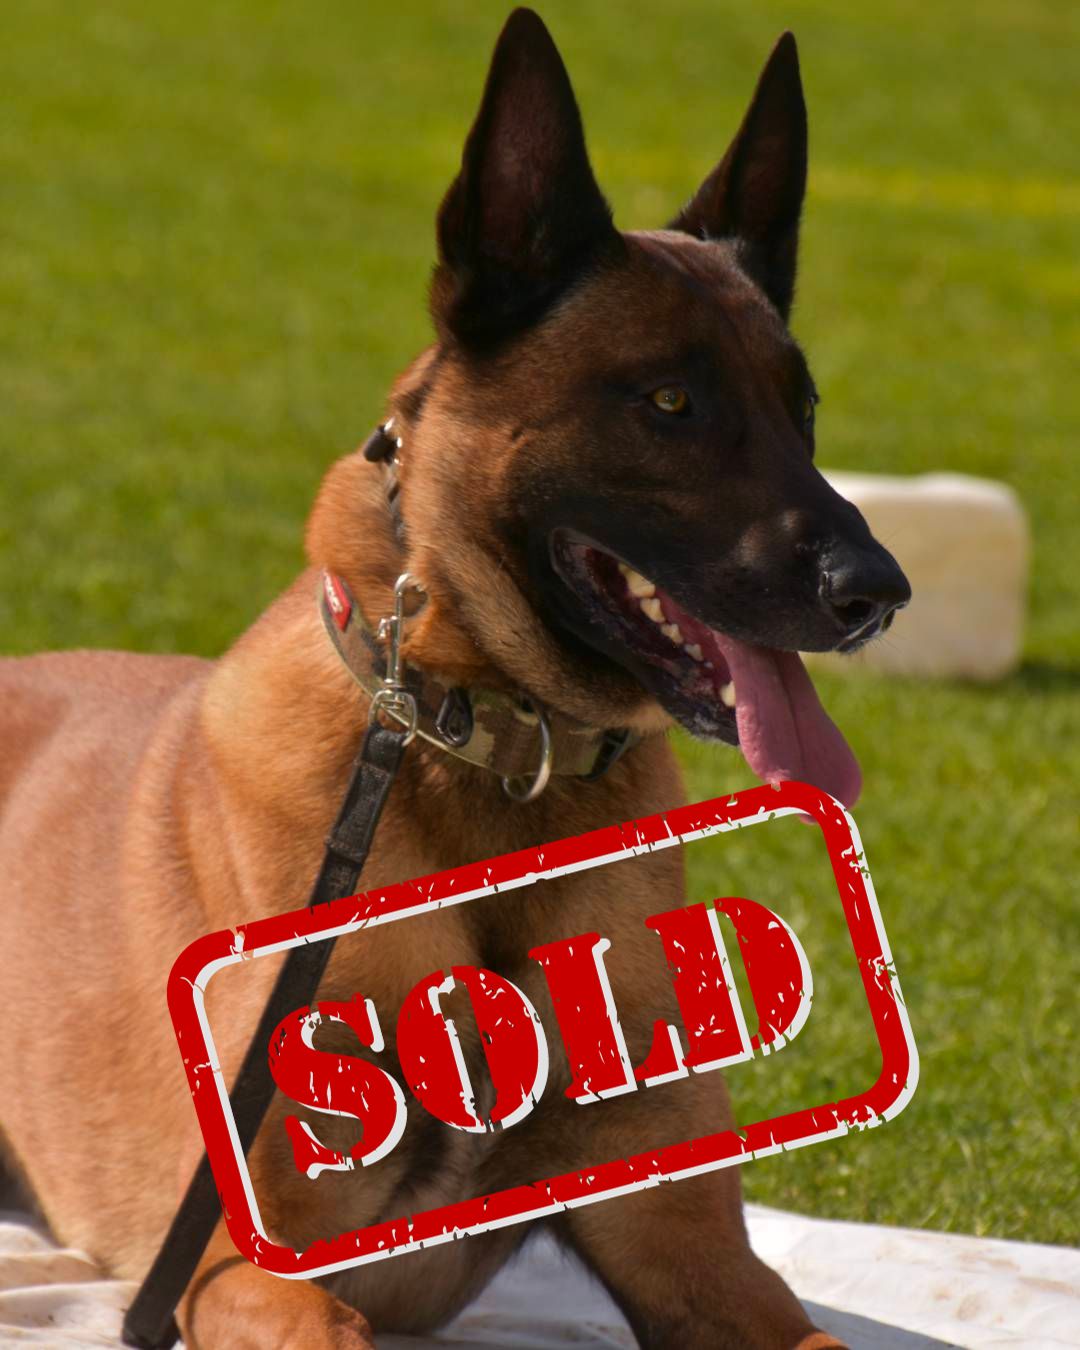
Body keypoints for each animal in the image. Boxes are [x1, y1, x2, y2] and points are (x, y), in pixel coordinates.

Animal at [0, 9, 909, 1348]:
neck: (494, 763)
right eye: (671, 400)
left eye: (803, 409)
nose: (878, 590)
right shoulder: (233, 1256)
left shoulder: (696, 1254)